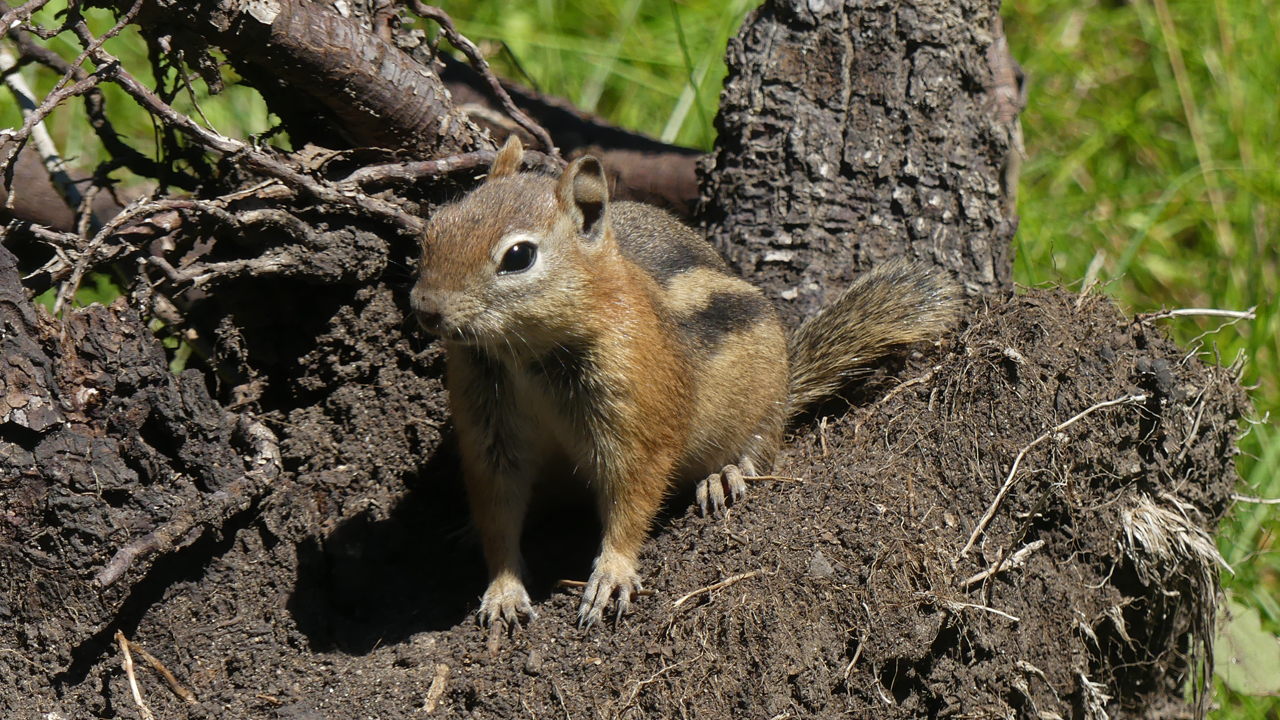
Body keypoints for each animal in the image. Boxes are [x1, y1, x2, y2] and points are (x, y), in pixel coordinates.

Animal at [409, 135, 962, 627]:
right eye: (435, 227)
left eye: (519, 256)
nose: (424, 308)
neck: (528, 356)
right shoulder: (490, 429)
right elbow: (497, 508)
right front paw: (502, 588)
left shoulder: (637, 417)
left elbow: (633, 497)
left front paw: (611, 574)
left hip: (764, 404)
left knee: (763, 449)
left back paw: (726, 475)